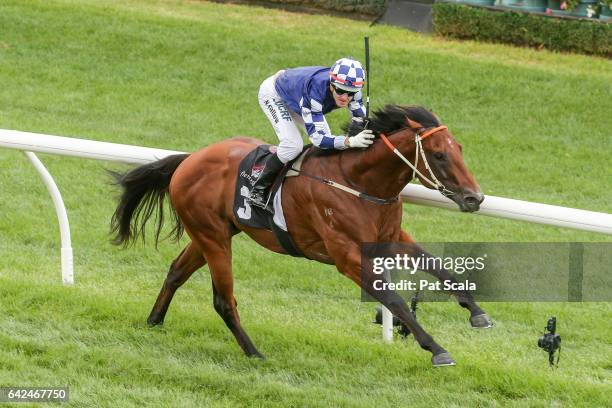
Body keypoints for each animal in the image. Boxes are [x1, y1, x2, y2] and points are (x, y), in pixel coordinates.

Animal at [110, 105, 492, 366]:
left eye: (459, 148)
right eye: (439, 155)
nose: (475, 198)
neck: (359, 182)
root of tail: (190, 160)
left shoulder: (390, 237)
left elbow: (440, 268)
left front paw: (477, 314)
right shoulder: (346, 255)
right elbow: (394, 301)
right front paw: (437, 349)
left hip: (212, 233)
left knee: (177, 271)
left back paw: (154, 321)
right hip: (213, 237)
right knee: (223, 300)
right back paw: (254, 353)